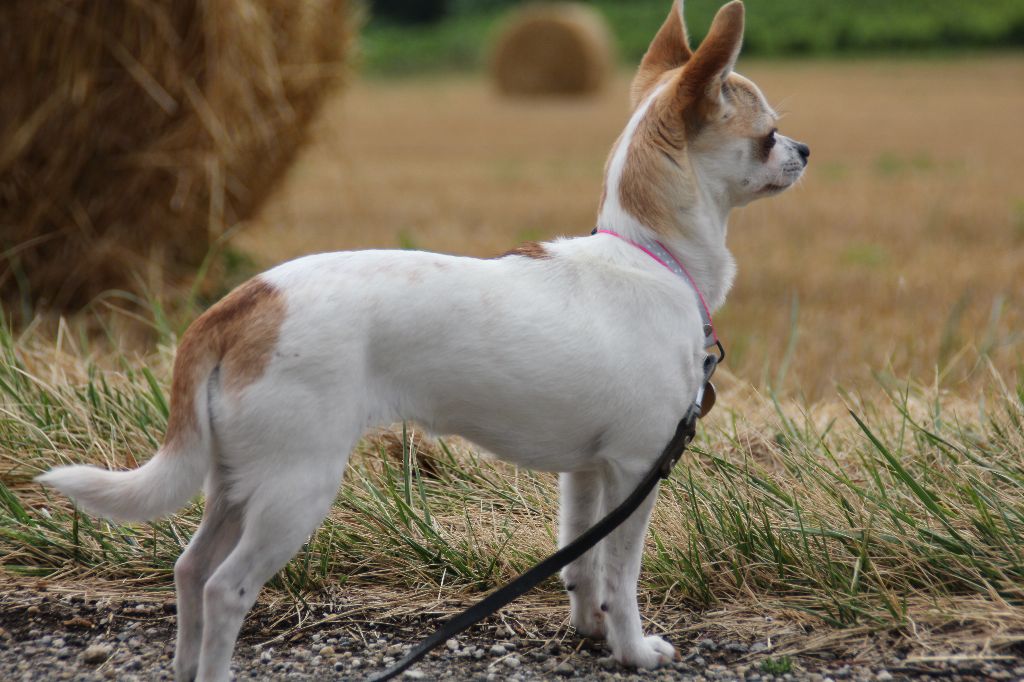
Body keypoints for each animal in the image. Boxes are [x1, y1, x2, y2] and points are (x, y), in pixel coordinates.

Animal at [37, 2, 806, 675]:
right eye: (767, 133)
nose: (803, 147)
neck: (650, 256)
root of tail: (240, 303)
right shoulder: (635, 470)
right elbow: (622, 572)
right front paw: (633, 649)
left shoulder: (586, 477)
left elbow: (580, 562)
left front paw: (589, 628)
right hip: (295, 489)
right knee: (226, 589)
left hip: (234, 481)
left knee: (190, 571)